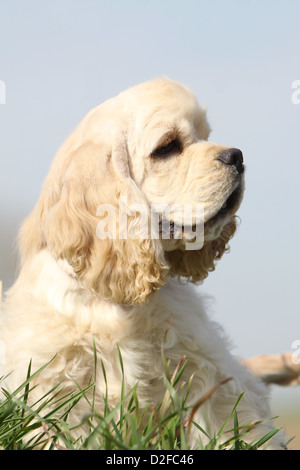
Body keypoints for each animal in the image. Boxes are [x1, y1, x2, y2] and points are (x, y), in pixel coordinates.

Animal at [0, 77, 286, 448]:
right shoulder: (57, 386)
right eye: (167, 147)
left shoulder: (204, 365)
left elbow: (234, 420)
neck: (116, 303)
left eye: (205, 135)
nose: (237, 156)